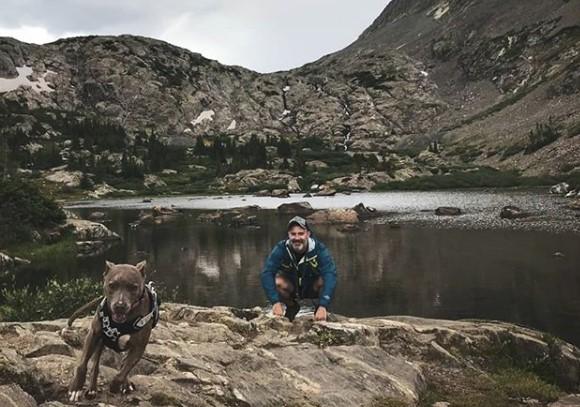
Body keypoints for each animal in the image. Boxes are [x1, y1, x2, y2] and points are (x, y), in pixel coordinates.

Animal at [67, 262, 159, 402]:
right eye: (112, 285)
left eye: (133, 287)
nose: (120, 306)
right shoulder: (93, 335)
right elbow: (82, 365)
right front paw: (76, 388)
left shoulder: (138, 347)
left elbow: (122, 372)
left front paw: (116, 386)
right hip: (100, 342)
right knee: (96, 365)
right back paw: (92, 389)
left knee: (122, 365)